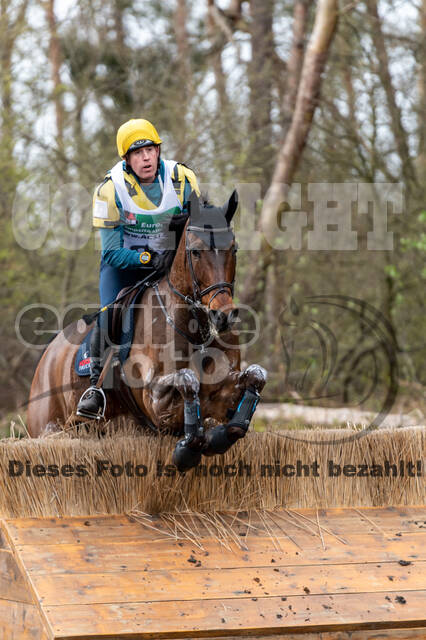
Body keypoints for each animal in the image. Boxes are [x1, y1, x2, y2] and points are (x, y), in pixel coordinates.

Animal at [27, 191, 266, 470]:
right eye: (196, 251)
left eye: (233, 249)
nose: (223, 316)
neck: (193, 330)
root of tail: (48, 355)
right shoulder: (154, 400)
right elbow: (188, 380)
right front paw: (189, 448)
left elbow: (255, 377)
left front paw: (219, 434)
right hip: (47, 427)